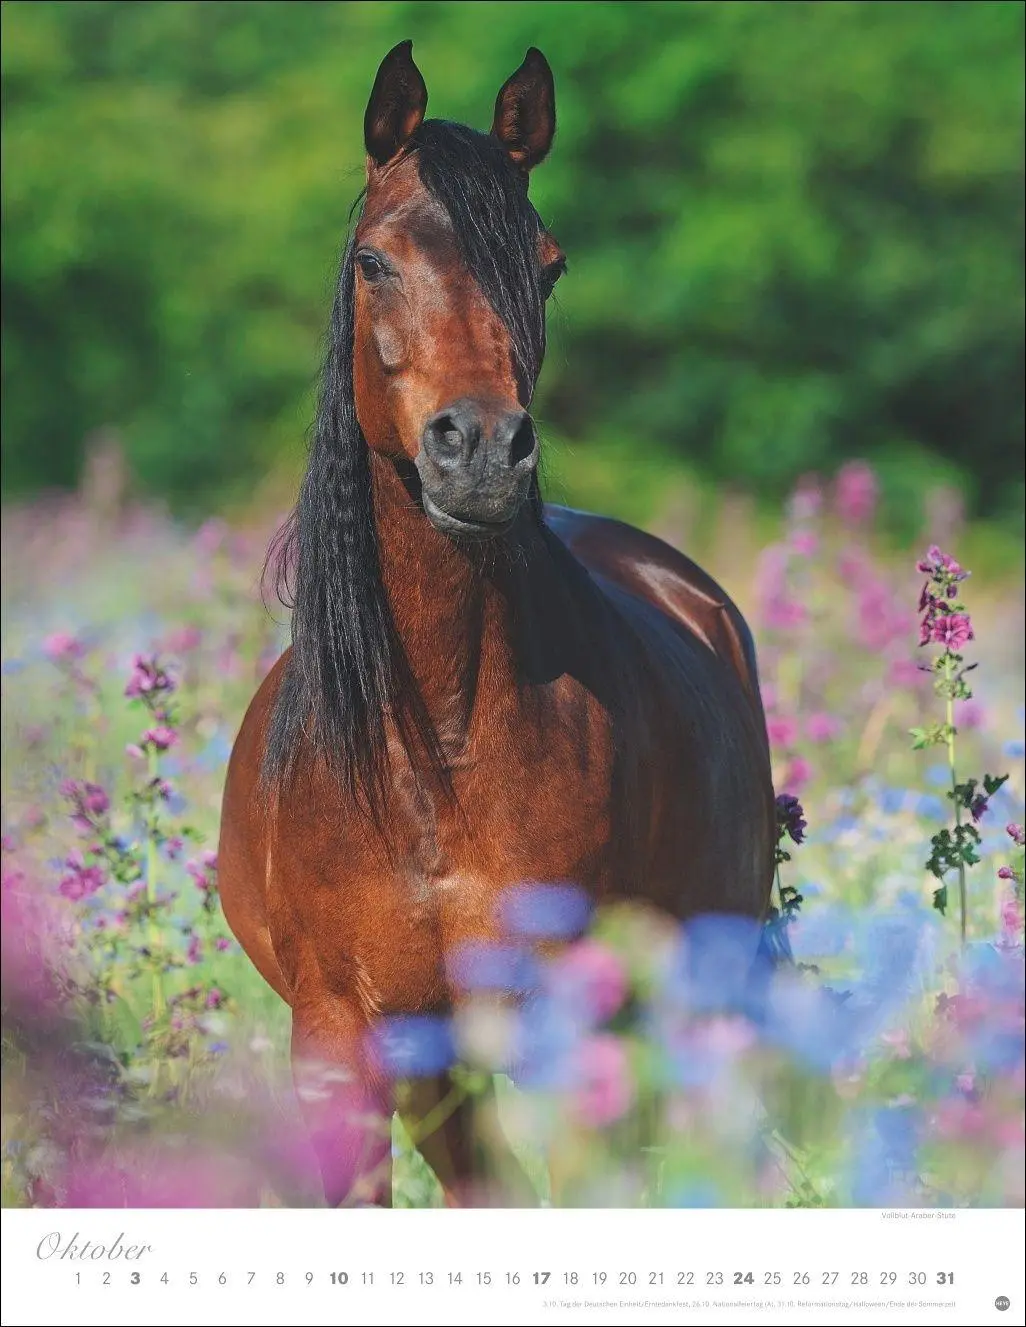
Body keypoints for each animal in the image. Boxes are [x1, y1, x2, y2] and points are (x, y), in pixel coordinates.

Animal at [219, 40, 776, 1207]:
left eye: (550, 266)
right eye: (374, 261)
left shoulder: (567, 1025)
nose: (479, 450)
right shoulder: (343, 1043)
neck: (435, 740)